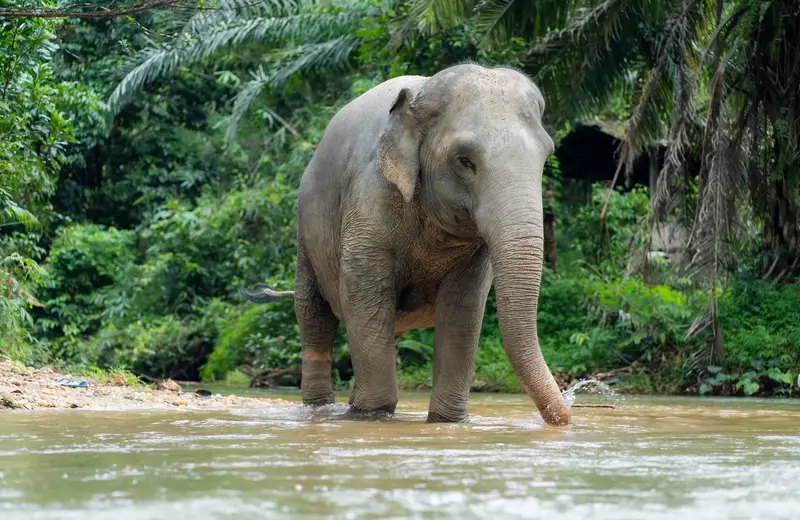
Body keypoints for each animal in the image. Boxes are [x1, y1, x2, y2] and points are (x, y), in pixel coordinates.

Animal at [245, 63, 571, 427]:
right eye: (465, 161)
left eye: (547, 156)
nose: (564, 418)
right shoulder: (370, 196)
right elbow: (363, 291)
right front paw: (373, 416)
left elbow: (464, 306)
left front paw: (446, 421)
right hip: (306, 229)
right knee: (315, 315)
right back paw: (320, 410)